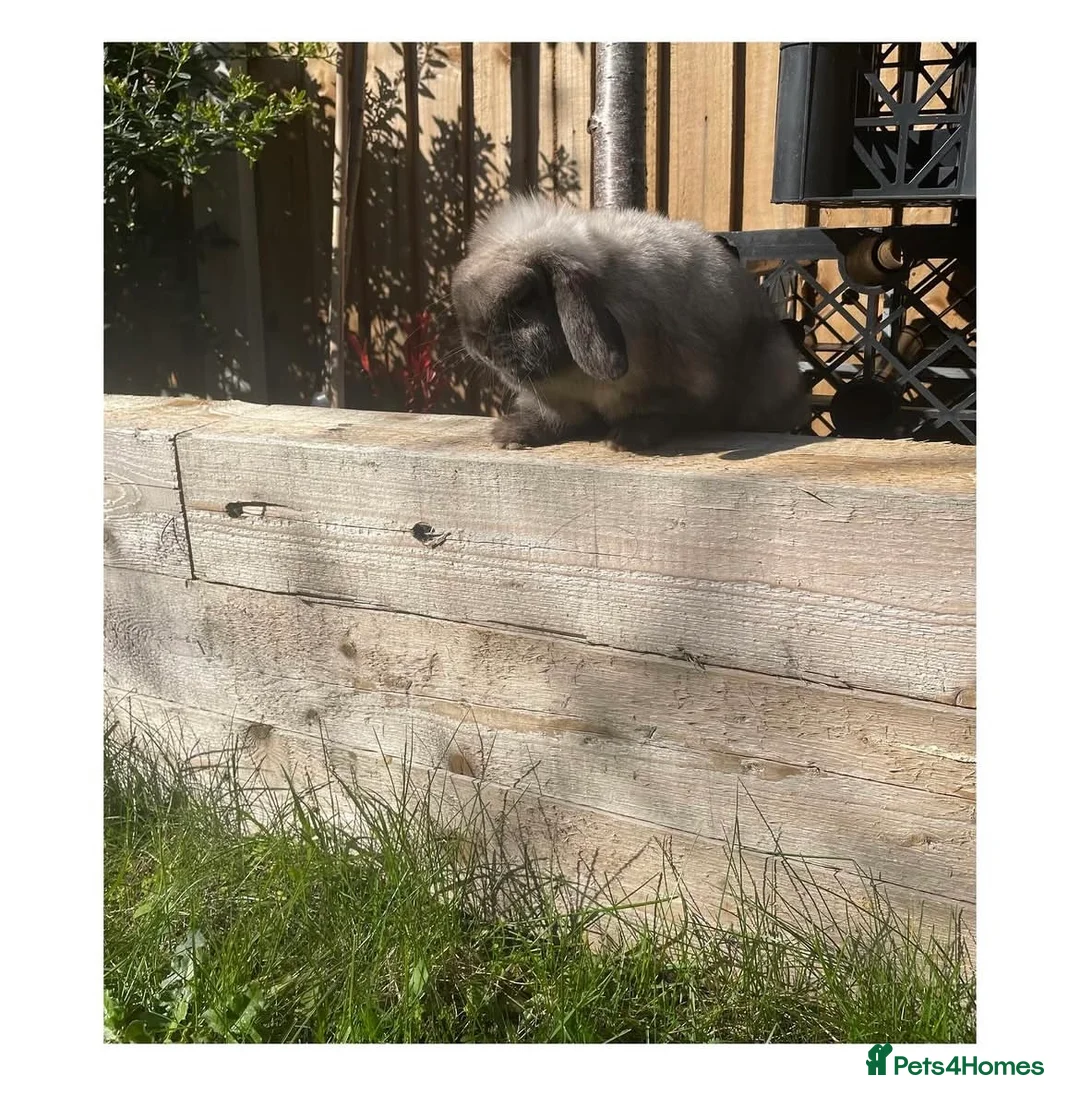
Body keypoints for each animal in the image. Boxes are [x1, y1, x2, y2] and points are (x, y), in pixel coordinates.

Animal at [450, 195, 810, 451]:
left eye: (523, 299)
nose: (478, 345)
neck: (575, 374)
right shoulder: (555, 401)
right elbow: (553, 419)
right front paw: (510, 435)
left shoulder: (680, 386)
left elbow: (661, 413)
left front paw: (626, 439)